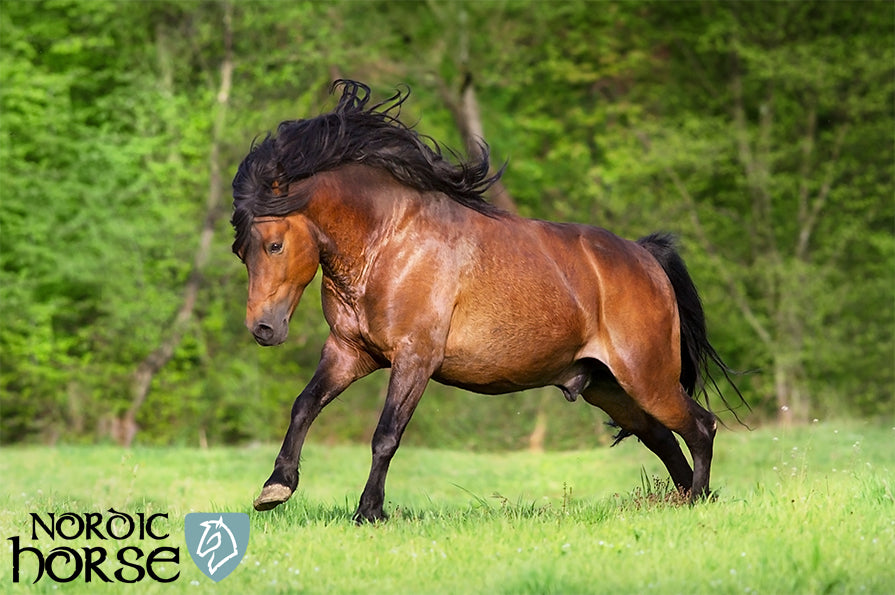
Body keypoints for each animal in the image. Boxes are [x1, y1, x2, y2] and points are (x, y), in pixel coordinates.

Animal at [229, 79, 744, 520]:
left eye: (274, 244)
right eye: (240, 250)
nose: (263, 328)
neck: (389, 242)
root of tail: (646, 257)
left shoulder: (415, 358)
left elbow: (386, 435)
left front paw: (369, 512)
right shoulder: (348, 352)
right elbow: (304, 405)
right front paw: (276, 487)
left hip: (647, 377)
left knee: (701, 426)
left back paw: (698, 501)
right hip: (610, 388)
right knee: (662, 437)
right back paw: (687, 500)